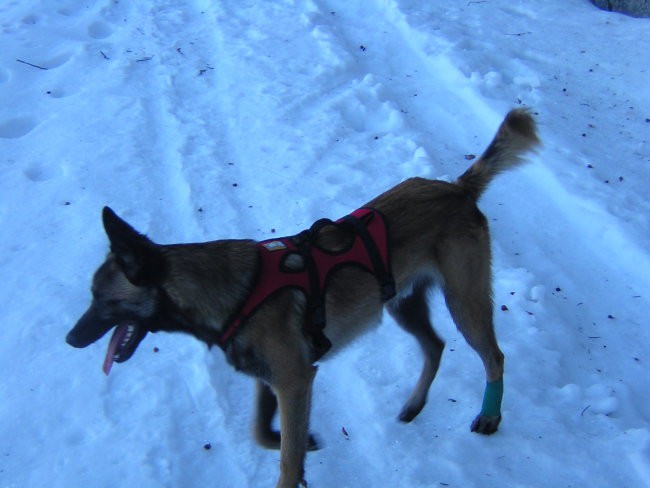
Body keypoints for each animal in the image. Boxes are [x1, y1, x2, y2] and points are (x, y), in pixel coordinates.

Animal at [68, 108, 540, 486]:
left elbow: (286, 460)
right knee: (436, 346)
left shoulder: (295, 380)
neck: (232, 293)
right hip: (402, 303)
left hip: (464, 301)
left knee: (493, 356)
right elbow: (262, 433)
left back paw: (490, 416)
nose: (71, 339)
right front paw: (297, 440)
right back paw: (414, 405)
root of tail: (457, 189)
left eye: (102, 299)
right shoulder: (270, 379)